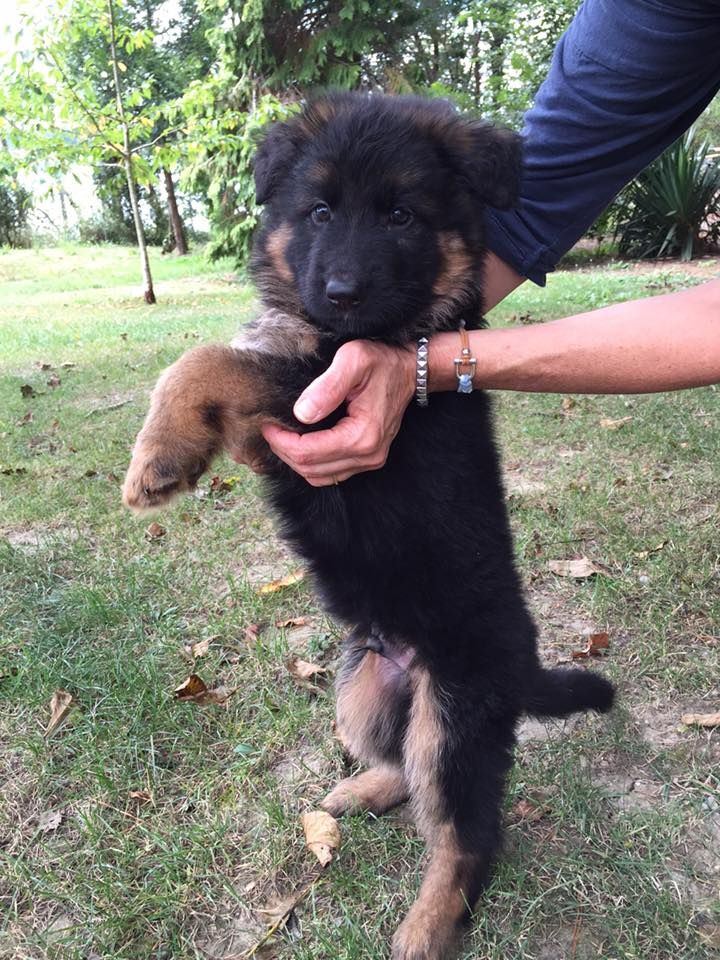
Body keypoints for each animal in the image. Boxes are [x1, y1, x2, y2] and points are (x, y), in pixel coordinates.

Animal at [122, 95, 612, 960]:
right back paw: (364, 789)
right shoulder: (282, 432)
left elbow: (207, 360)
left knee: (466, 833)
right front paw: (175, 450)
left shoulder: (322, 402)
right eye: (319, 212)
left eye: (401, 215)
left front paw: (157, 458)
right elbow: (231, 362)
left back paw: (428, 925)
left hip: (454, 717)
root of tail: (523, 669)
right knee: (401, 761)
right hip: (360, 679)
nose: (343, 293)